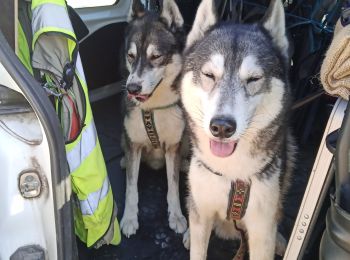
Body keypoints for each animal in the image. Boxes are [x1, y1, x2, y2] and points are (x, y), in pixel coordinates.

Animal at [119, 0, 187, 238]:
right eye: (131, 56)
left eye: (156, 56)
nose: (131, 88)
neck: (154, 109)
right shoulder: (134, 144)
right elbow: (131, 188)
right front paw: (129, 218)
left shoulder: (174, 146)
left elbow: (173, 187)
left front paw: (176, 216)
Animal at [180, 0, 296, 258]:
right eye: (209, 75)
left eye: (253, 79)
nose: (222, 127)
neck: (231, 174)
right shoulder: (202, 215)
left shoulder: (261, 229)